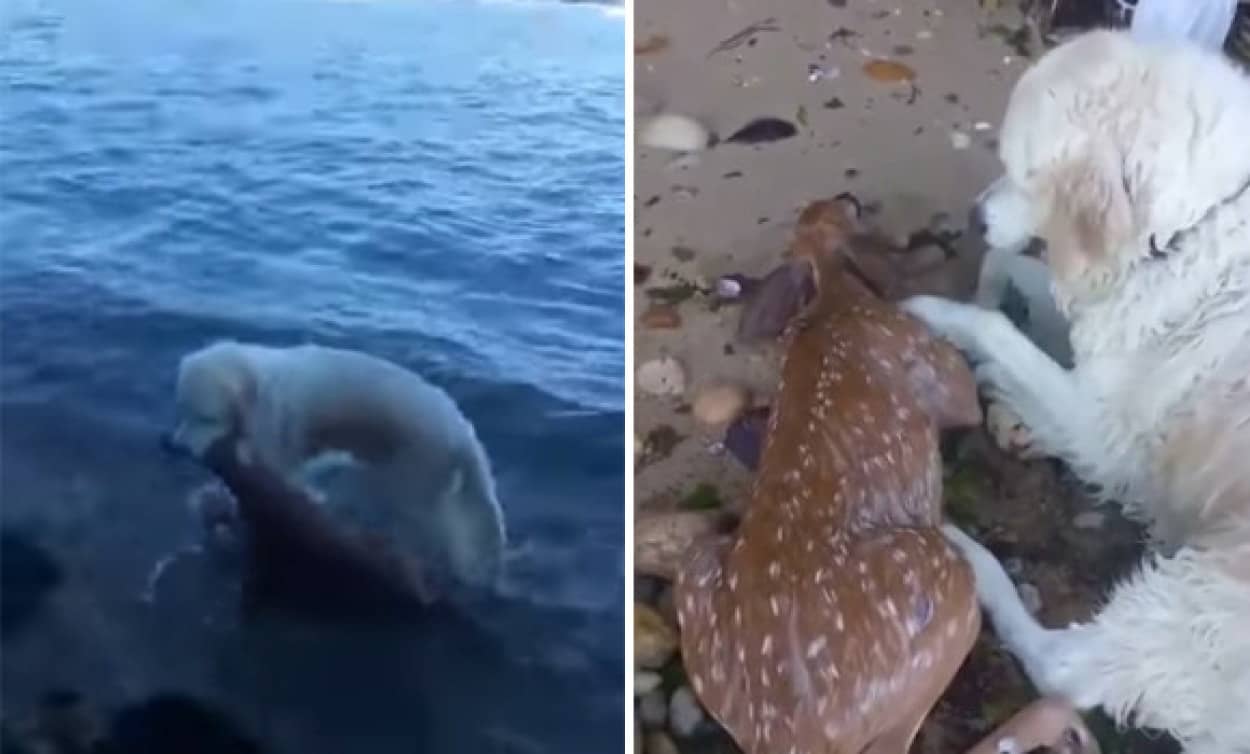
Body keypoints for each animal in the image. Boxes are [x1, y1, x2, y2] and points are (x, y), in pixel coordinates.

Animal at [166, 340, 507, 590]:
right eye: (182, 411)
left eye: (205, 418)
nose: (174, 446)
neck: (259, 385)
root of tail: (464, 438)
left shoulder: (279, 435)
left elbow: (276, 470)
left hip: (411, 477)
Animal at [905, 29, 1250, 754]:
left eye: (1020, 168)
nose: (974, 217)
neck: (1197, 221)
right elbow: (1008, 272)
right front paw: (986, 296)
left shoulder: (1104, 431)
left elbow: (996, 327)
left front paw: (937, 315)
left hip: (1211, 596)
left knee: (1067, 670)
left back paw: (969, 557)